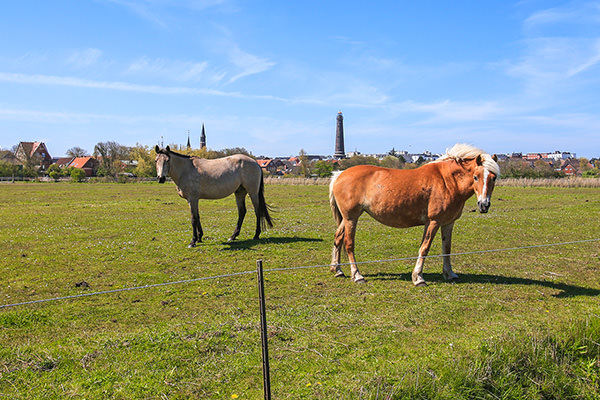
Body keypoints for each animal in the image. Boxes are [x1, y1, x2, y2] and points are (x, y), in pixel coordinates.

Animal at [330, 143, 500, 284]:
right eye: (476, 177)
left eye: (494, 178)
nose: (484, 205)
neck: (448, 181)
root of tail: (340, 175)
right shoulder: (433, 222)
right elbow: (424, 248)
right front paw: (418, 277)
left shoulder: (448, 223)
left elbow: (447, 248)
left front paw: (449, 274)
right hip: (351, 218)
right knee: (349, 243)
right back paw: (357, 275)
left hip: (346, 219)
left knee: (338, 238)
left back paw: (337, 269)